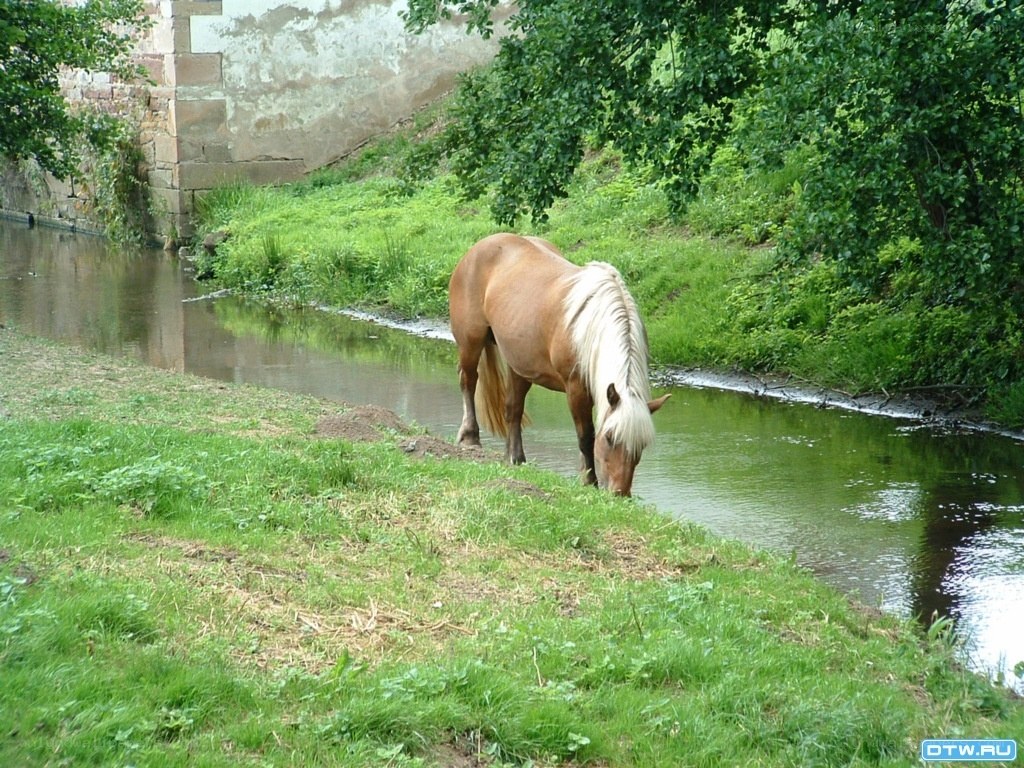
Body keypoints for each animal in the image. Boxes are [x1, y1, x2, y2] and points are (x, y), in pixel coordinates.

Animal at [448, 233, 670, 496]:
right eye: (609, 437)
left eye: (641, 445)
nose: (620, 493)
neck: (593, 326)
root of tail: (479, 247)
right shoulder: (576, 389)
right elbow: (585, 437)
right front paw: (589, 481)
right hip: (471, 343)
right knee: (468, 382)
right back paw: (470, 437)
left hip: (519, 364)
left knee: (512, 409)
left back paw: (515, 458)